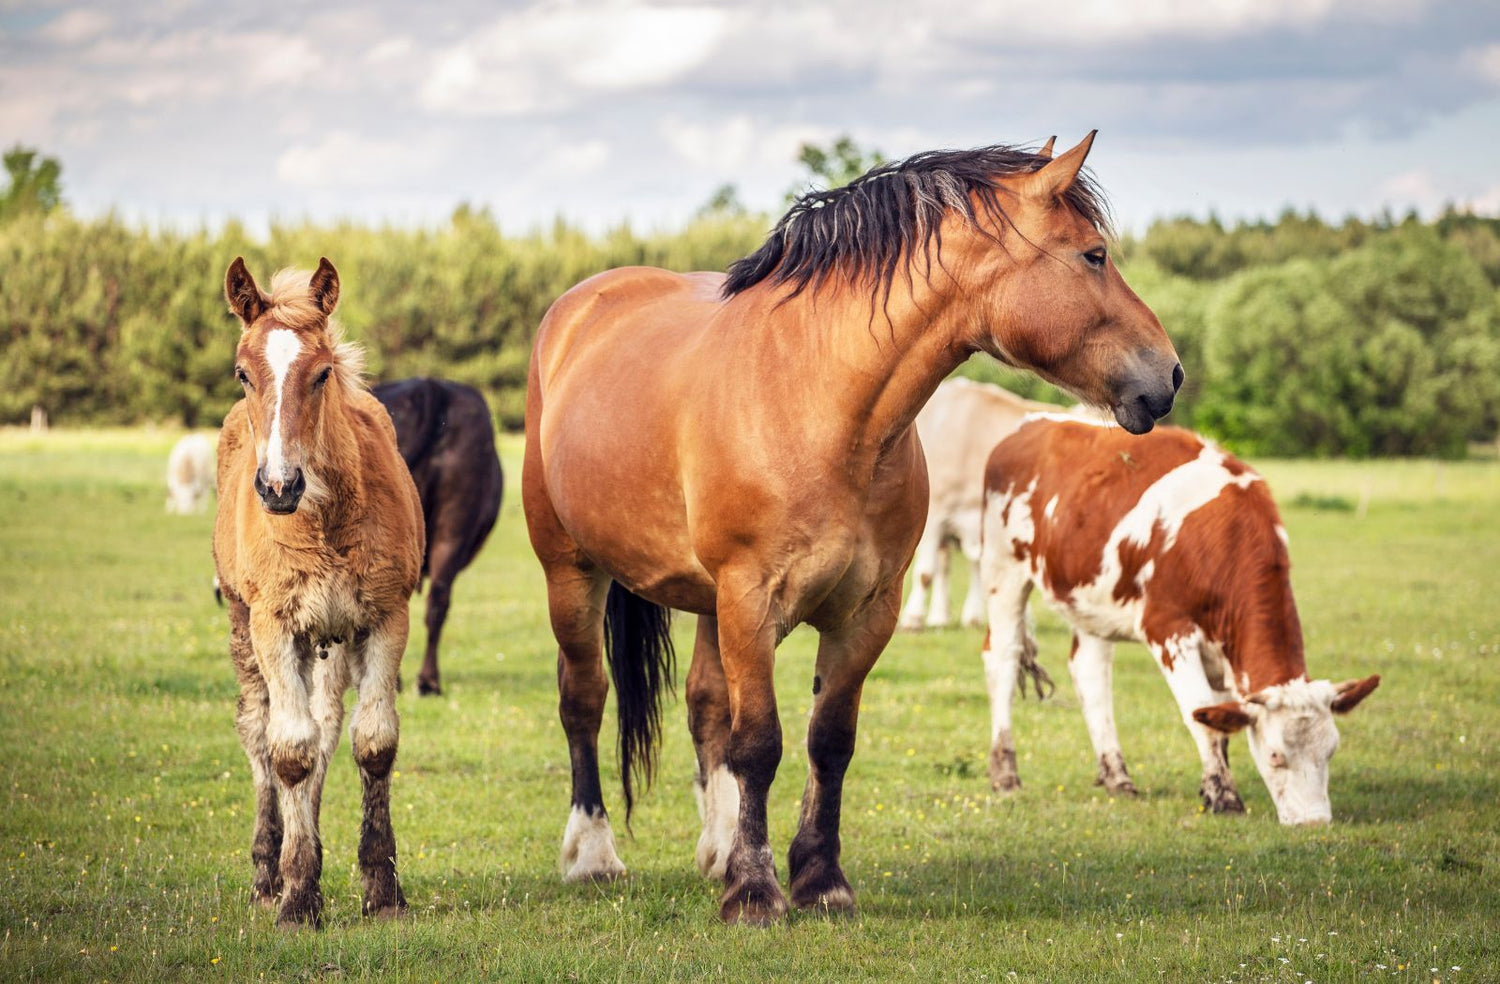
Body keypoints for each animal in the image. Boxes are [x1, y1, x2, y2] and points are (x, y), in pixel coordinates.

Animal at [213, 258, 424, 928]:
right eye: (243, 373)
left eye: (323, 372)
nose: (279, 486)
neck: (323, 518)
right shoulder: (274, 623)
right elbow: (289, 752)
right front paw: (298, 895)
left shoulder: (386, 616)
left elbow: (372, 742)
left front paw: (381, 888)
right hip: (244, 624)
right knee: (260, 728)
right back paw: (267, 870)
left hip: (331, 637)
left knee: (327, 726)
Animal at [979, 415, 1379, 825]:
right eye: (1275, 756)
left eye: (1331, 750)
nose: (1314, 822)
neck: (1224, 538)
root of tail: (1034, 423)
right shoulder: (1168, 630)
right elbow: (1200, 716)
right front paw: (1224, 796)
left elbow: (1217, 723)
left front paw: (1211, 786)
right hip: (1003, 569)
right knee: (1003, 659)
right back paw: (1005, 774)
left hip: (1088, 597)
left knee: (1090, 674)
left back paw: (1117, 776)